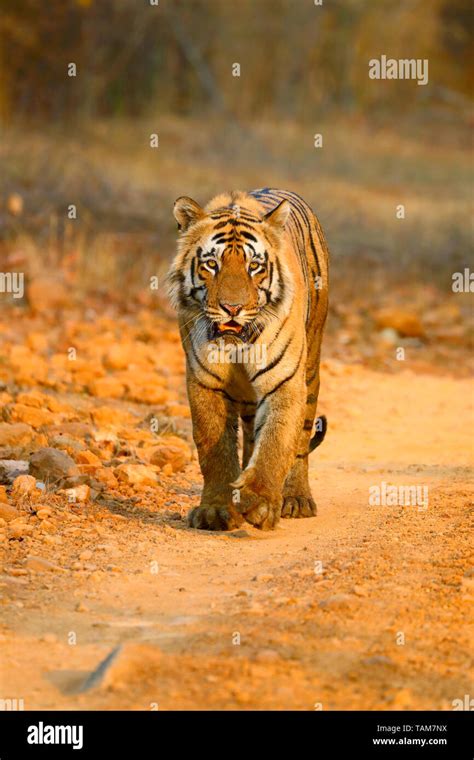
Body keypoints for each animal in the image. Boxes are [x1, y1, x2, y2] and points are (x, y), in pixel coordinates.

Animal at [168, 188, 330, 532]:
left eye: (254, 266)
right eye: (211, 264)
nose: (232, 308)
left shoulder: (284, 380)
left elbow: (276, 442)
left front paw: (260, 503)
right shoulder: (204, 382)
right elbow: (215, 449)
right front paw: (216, 510)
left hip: (310, 366)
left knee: (300, 439)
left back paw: (296, 499)